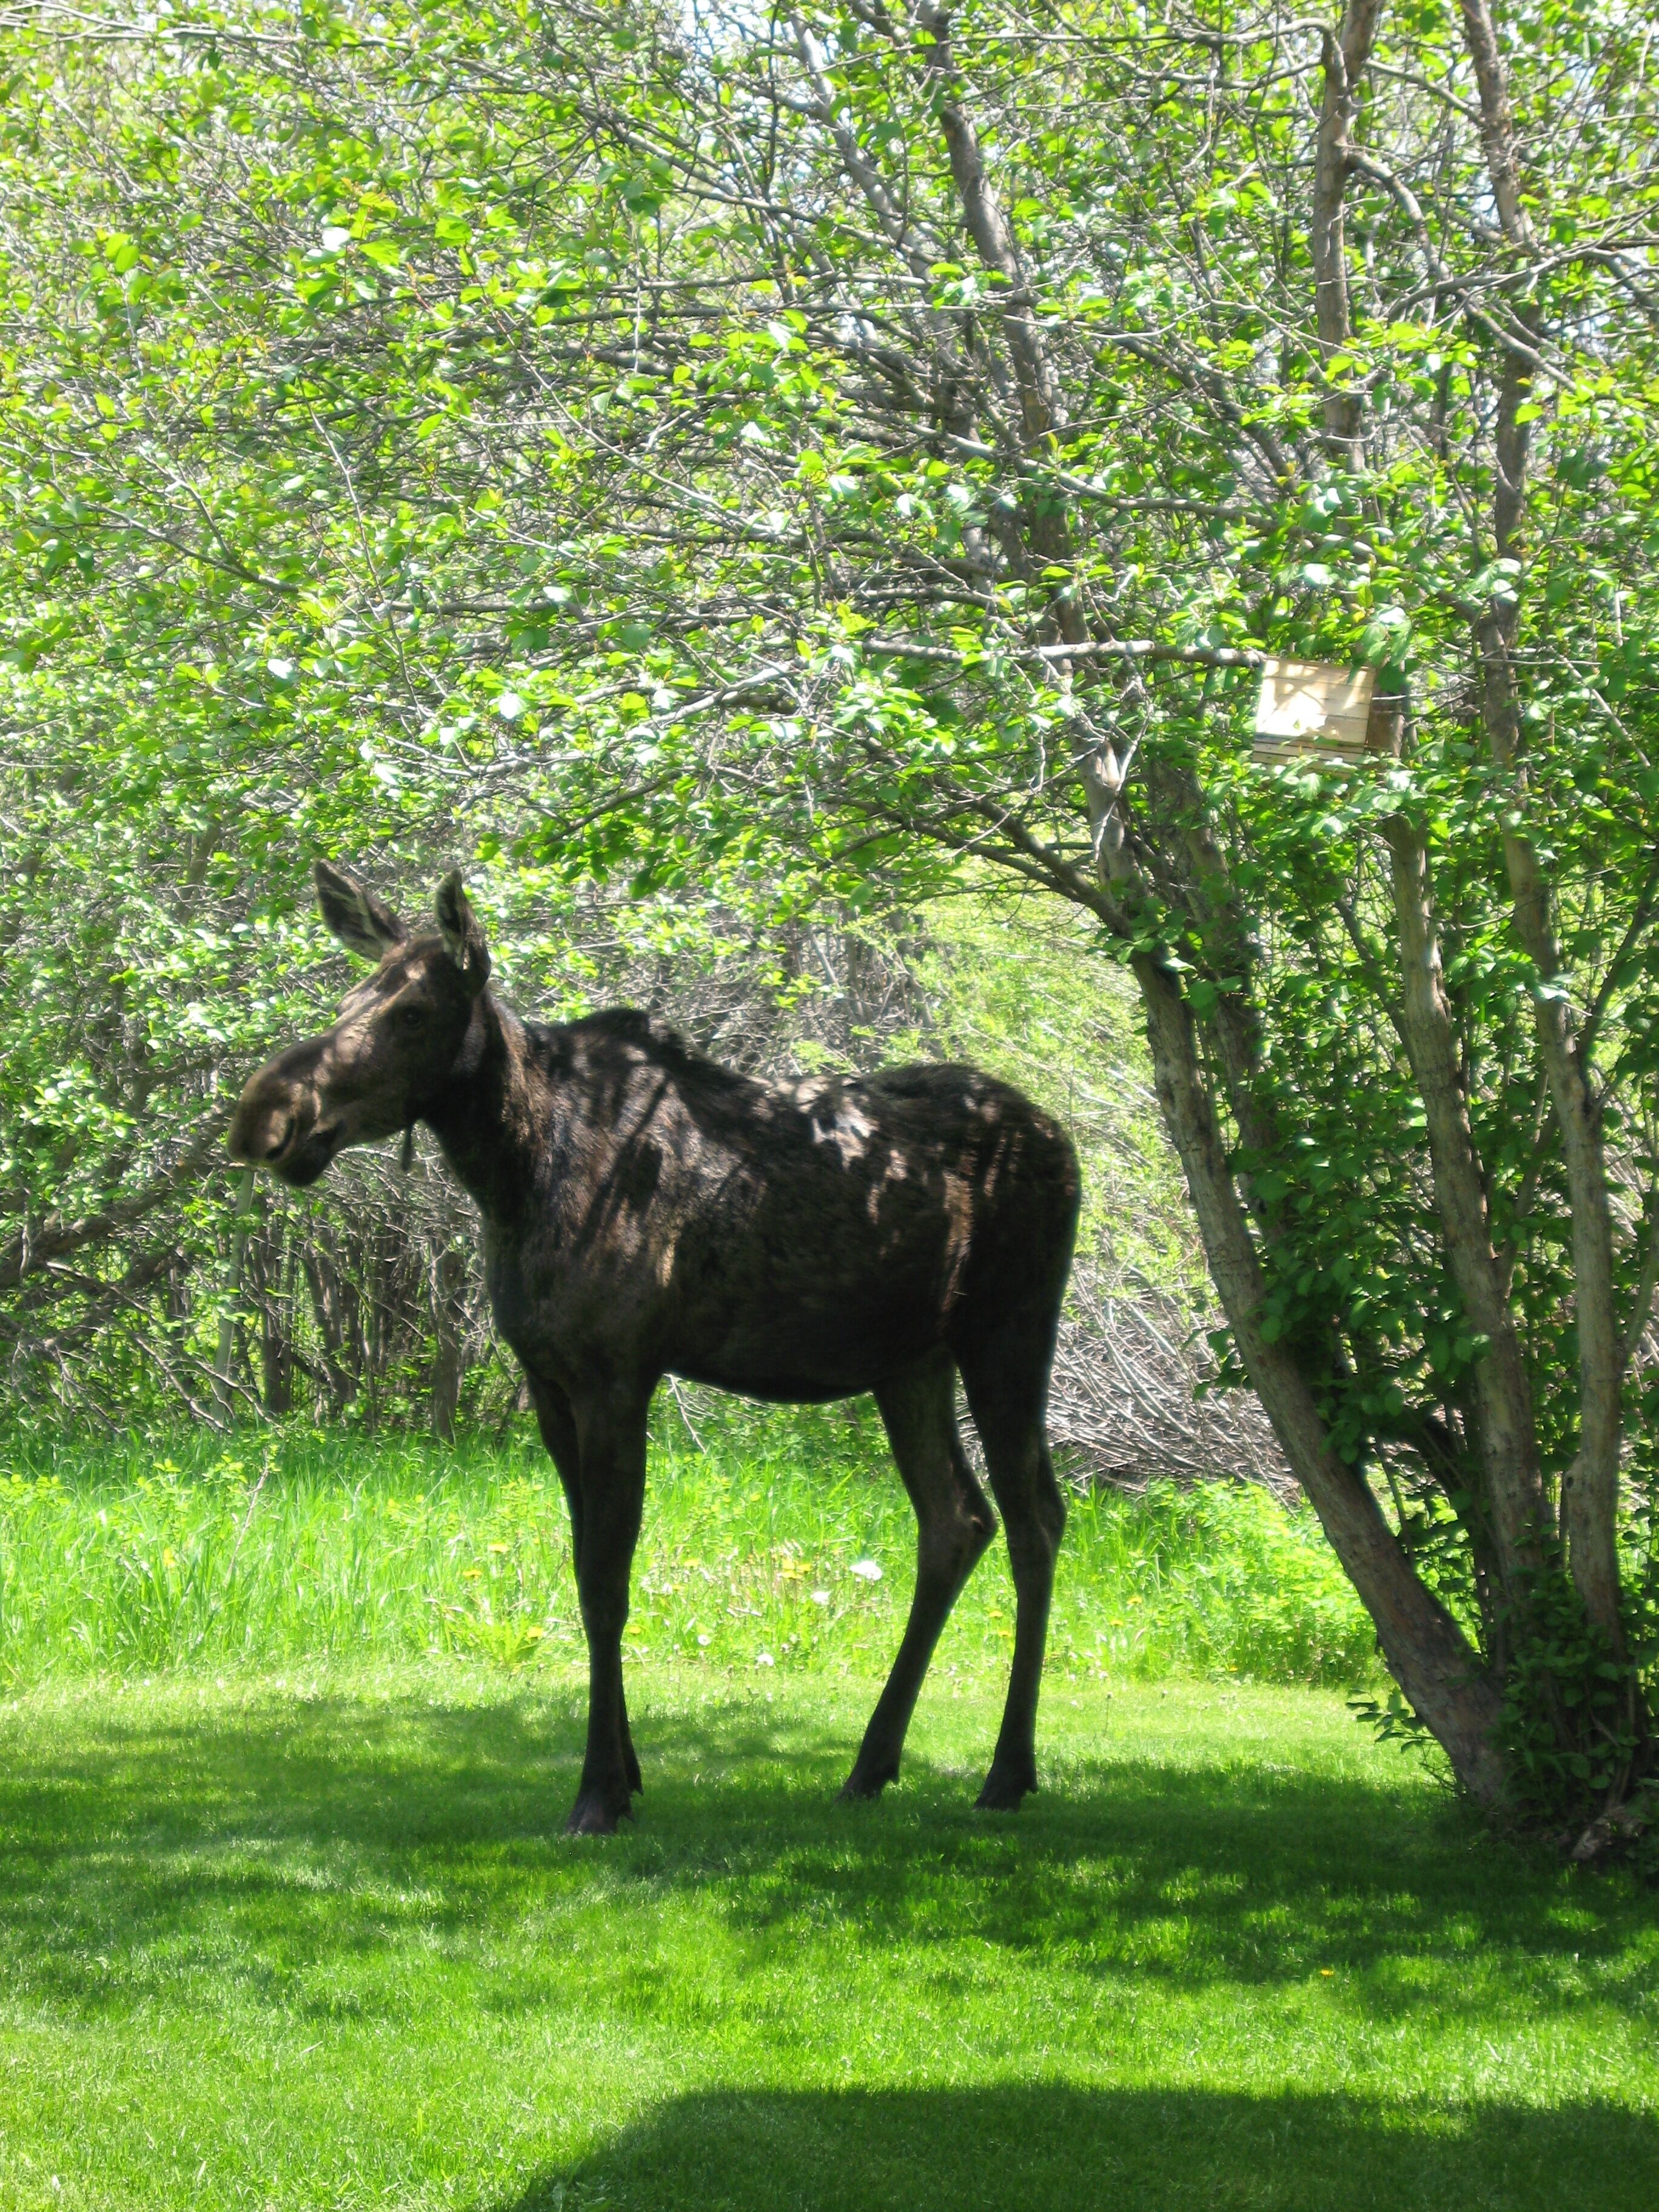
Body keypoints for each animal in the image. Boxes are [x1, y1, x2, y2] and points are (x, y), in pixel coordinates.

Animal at [229, 864, 1081, 1834]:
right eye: (349, 999)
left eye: (412, 1013)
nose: (264, 1120)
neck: (512, 1173)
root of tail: (1063, 1142)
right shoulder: (550, 1384)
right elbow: (582, 1572)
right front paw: (628, 1771)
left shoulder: (616, 1376)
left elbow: (608, 1582)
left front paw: (599, 1791)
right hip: (910, 1362)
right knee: (956, 1520)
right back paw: (872, 1764)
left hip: (1009, 1330)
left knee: (1035, 1518)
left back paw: (1008, 1772)